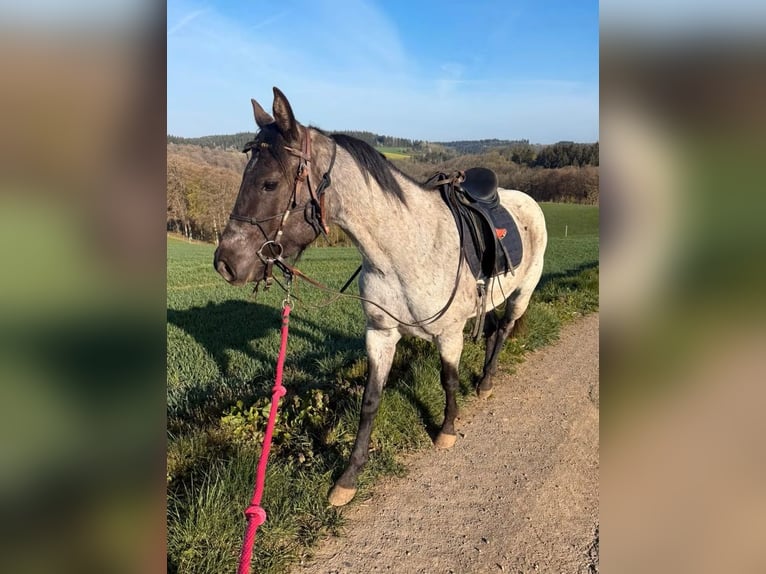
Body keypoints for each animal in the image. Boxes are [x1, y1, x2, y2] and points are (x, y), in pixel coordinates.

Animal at [213, 87, 547, 506]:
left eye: (270, 183)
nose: (225, 263)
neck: (405, 249)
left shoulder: (449, 334)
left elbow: (448, 380)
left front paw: (446, 430)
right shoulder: (381, 334)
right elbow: (370, 401)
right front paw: (349, 477)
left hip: (523, 291)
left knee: (503, 330)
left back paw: (486, 381)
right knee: (490, 330)